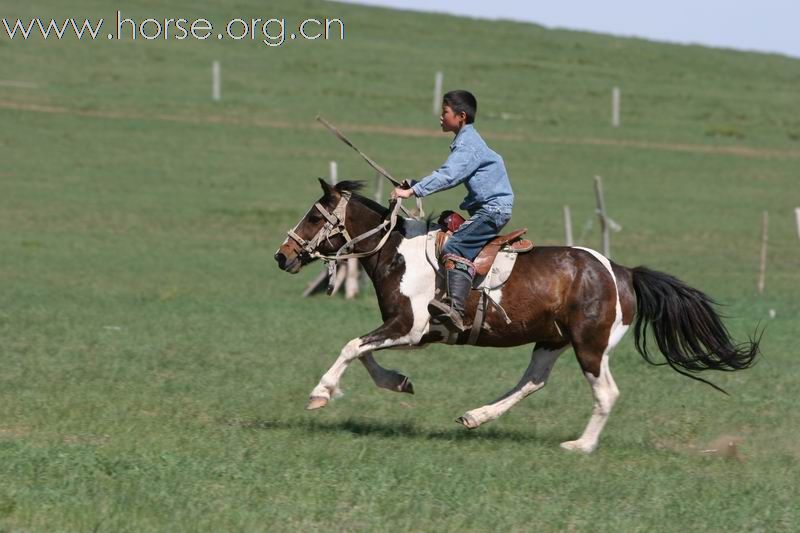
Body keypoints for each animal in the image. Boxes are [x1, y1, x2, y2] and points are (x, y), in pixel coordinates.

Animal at [276, 180, 764, 454]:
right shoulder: (404, 330)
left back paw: (581, 446)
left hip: (590, 346)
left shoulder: (409, 328)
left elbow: (352, 347)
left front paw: (320, 393)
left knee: (605, 393)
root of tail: (622, 271)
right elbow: (364, 352)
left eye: (314, 215)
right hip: (551, 339)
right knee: (533, 381)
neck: (399, 253)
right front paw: (397, 382)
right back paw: (475, 417)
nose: (282, 256)